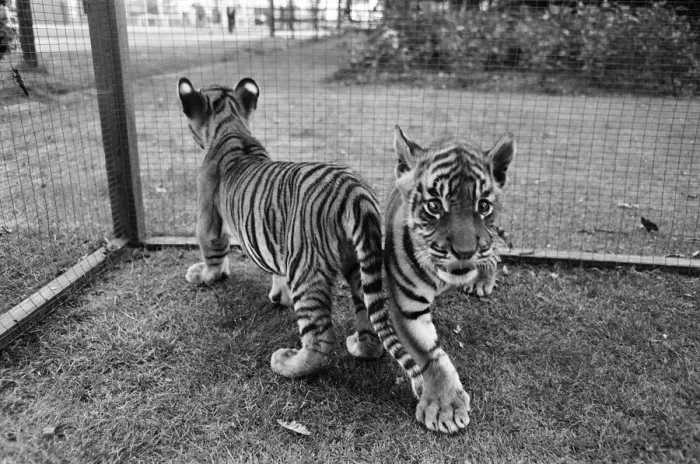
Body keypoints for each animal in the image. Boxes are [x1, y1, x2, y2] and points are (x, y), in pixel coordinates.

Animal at [177, 76, 385, 378]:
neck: (230, 123)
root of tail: (354, 192)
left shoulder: (209, 215)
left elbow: (212, 251)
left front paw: (205, 275)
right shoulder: (274, 240)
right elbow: (275, 269)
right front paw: (278, 295)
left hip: (307, 269)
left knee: (320, 338)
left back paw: (286, 363)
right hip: (361, 264)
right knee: (370, 317)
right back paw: (360, 346)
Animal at [379, 125, 515, 434]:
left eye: (483, 206)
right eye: (434, 205)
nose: (465, 252)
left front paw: (445, 408)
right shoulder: (408, 307)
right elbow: (430, 355)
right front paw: (445, 407)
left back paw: (483, 279)